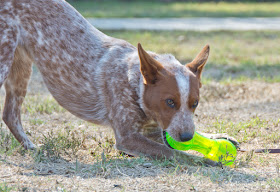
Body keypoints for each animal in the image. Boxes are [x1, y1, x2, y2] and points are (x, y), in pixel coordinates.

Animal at [0, 0, 236, 165]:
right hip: (5, 61)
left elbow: (179, 140)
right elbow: (173, 152)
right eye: (169, 102)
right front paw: (203, 159)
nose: (186, 137)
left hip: (21, 68)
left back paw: (31, 146)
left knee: (10, 114)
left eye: (195, 103)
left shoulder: (155, 129)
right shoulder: (127, 137)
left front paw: (216, 137)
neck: (133, 83)